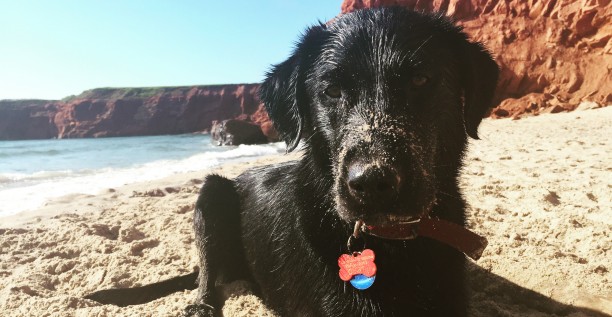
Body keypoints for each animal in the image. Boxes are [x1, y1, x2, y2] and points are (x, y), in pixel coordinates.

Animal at [183, 7, 498, 316]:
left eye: (420, 79)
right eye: (332, 91)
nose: (371, 182)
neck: (390, 239)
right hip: (212, 194)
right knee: (206, 273)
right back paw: (201, 305)